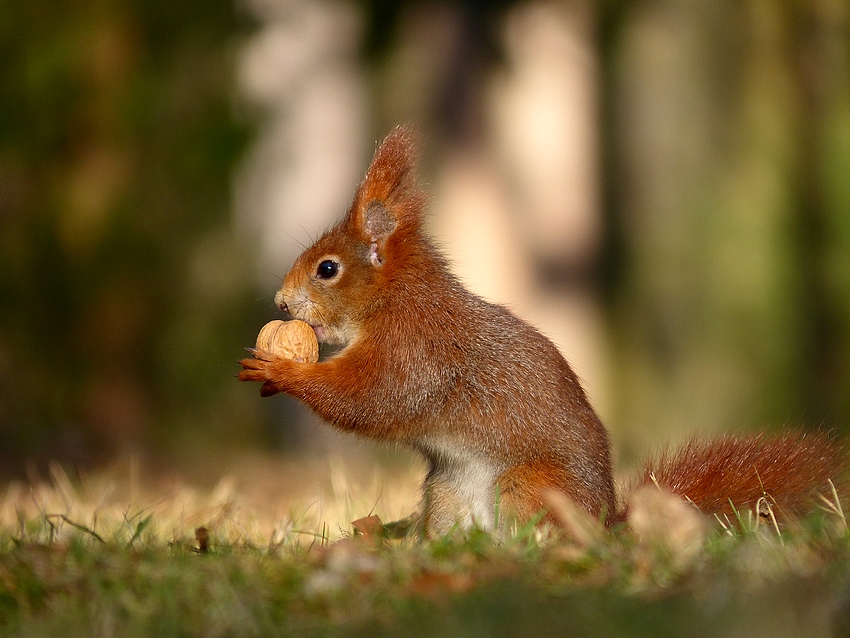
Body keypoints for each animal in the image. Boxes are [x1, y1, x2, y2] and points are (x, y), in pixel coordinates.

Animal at [239, 126, 846, 534]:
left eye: (327, 269)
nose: (281, 302)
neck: (395, 300)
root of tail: (607, 523)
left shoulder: (416, 349)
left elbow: (372, 398)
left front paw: (281, 368)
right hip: (448, 489)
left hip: (527, 486)